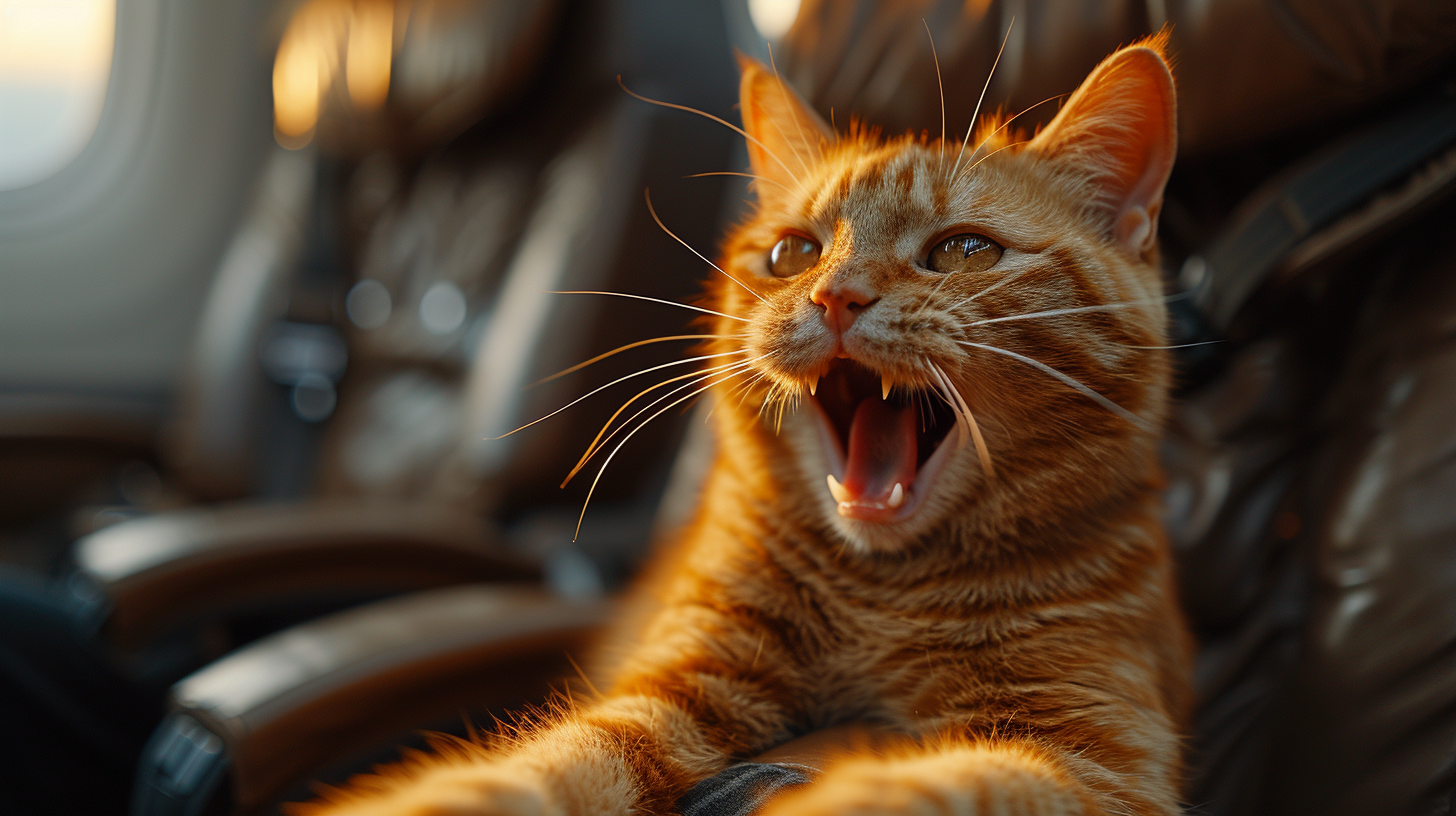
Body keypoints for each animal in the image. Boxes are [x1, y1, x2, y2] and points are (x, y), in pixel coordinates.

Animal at [301, 31, 1188, 816]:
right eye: (795, 254)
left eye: (964, 252)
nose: (836, 297)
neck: (880, 594)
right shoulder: (676, 682)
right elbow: (561, 764)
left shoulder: (1094, 755)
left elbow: (952, 786)